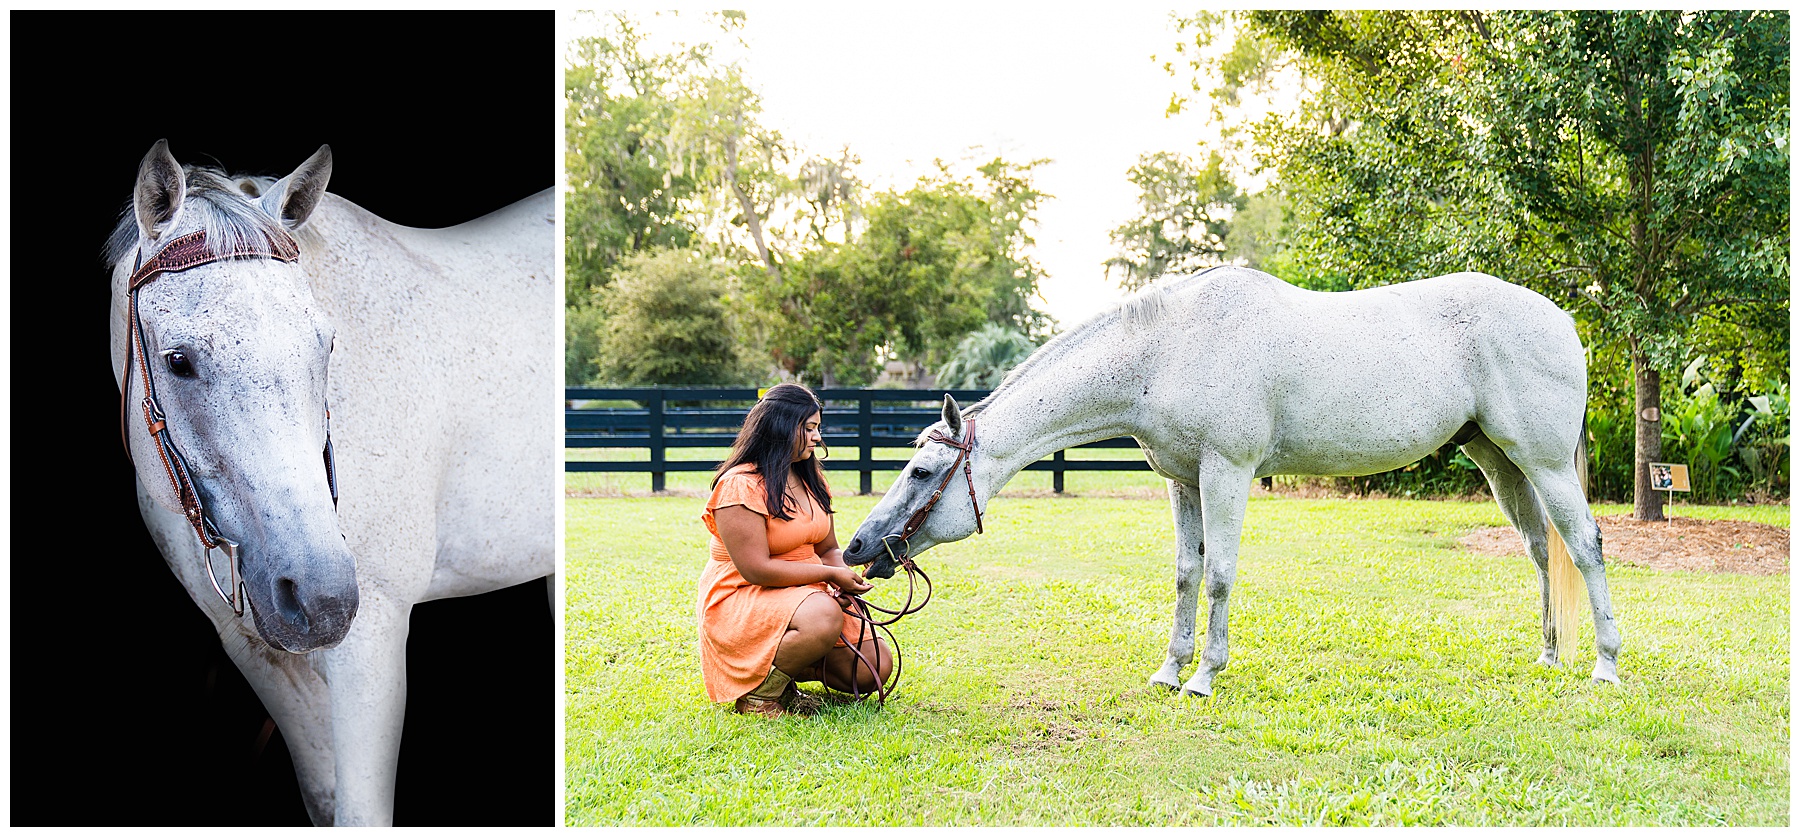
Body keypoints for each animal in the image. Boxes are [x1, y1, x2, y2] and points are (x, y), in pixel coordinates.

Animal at [843, 266, 1622, 697]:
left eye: (920, 469)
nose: (858, 548)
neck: (1170, 346)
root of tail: (1563, 317)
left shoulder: (1227, 472)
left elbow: (1219, 573)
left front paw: (1203, 676)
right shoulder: (1183, 482)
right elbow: (1186, 574)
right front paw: (1169, 668)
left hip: (1545, 462)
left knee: (1585, 544)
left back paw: (1606, 665)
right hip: (1500, 460)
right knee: (1540, 550)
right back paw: (1550, 654)